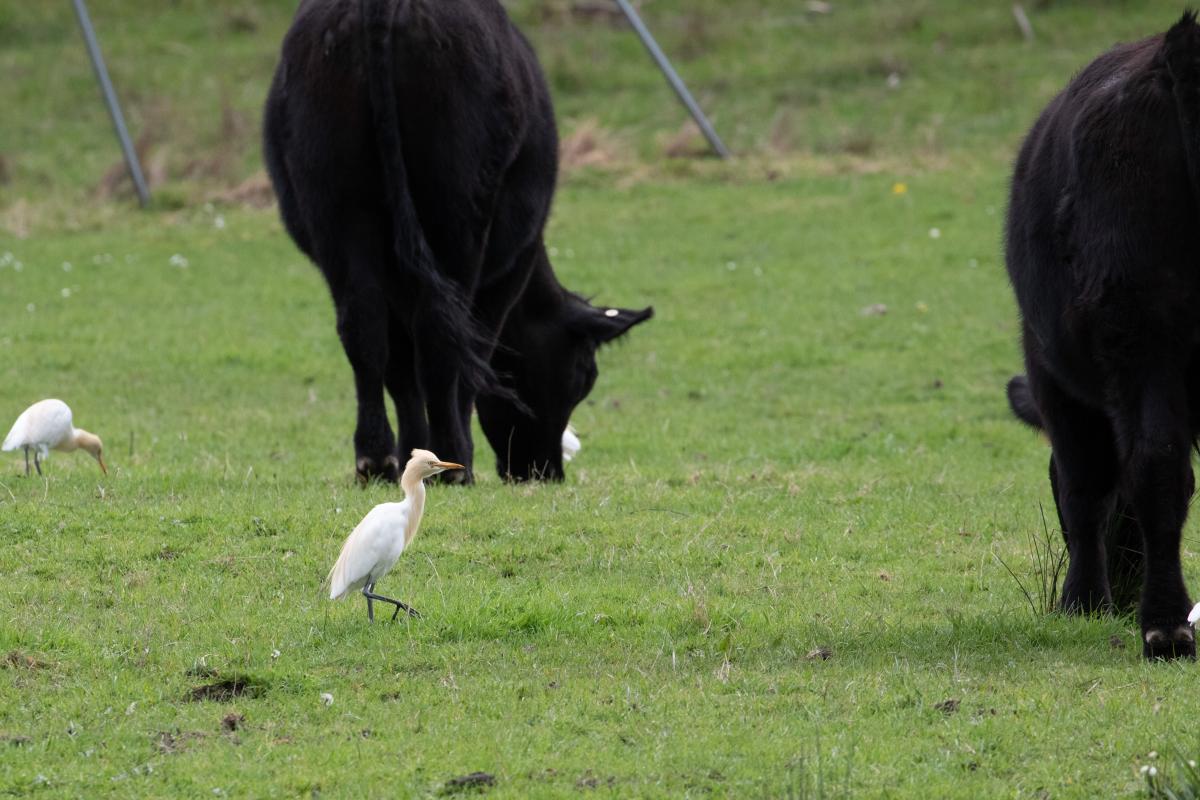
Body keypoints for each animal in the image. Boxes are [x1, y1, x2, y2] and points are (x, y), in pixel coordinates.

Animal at [266, 0, 652, 482]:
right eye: (583, 375)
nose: (544, 471)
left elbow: (400, 367)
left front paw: (413, 453)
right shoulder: (512, 265)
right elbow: (474, 350)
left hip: (337, 208)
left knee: (364, 327)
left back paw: (375, 459)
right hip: (458, 214)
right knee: (441, 334)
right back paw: (455, 460)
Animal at [1003, 12, 1200, 662]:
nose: (1125, 578)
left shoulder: (1048, 374)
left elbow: (1083, 486)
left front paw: (1082, 599)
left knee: (1152, 465)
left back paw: (1163, 623)